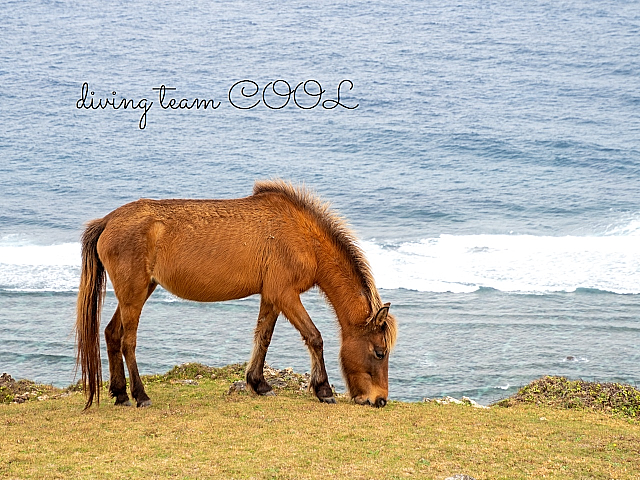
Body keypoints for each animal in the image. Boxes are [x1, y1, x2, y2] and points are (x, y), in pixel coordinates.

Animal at [75, 179, 396, 408]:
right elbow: (314, 337)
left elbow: (263, 337)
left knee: (112, 334)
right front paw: (324, 390)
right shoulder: (286, 295)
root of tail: (107, 221)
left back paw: (120, 394)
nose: (379, 400)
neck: (302, 236)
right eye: (379, 352)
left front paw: (259, 383)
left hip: (137, 292)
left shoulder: (272, 297)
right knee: (127, 341)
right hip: (134, 294)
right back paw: (140, 395)